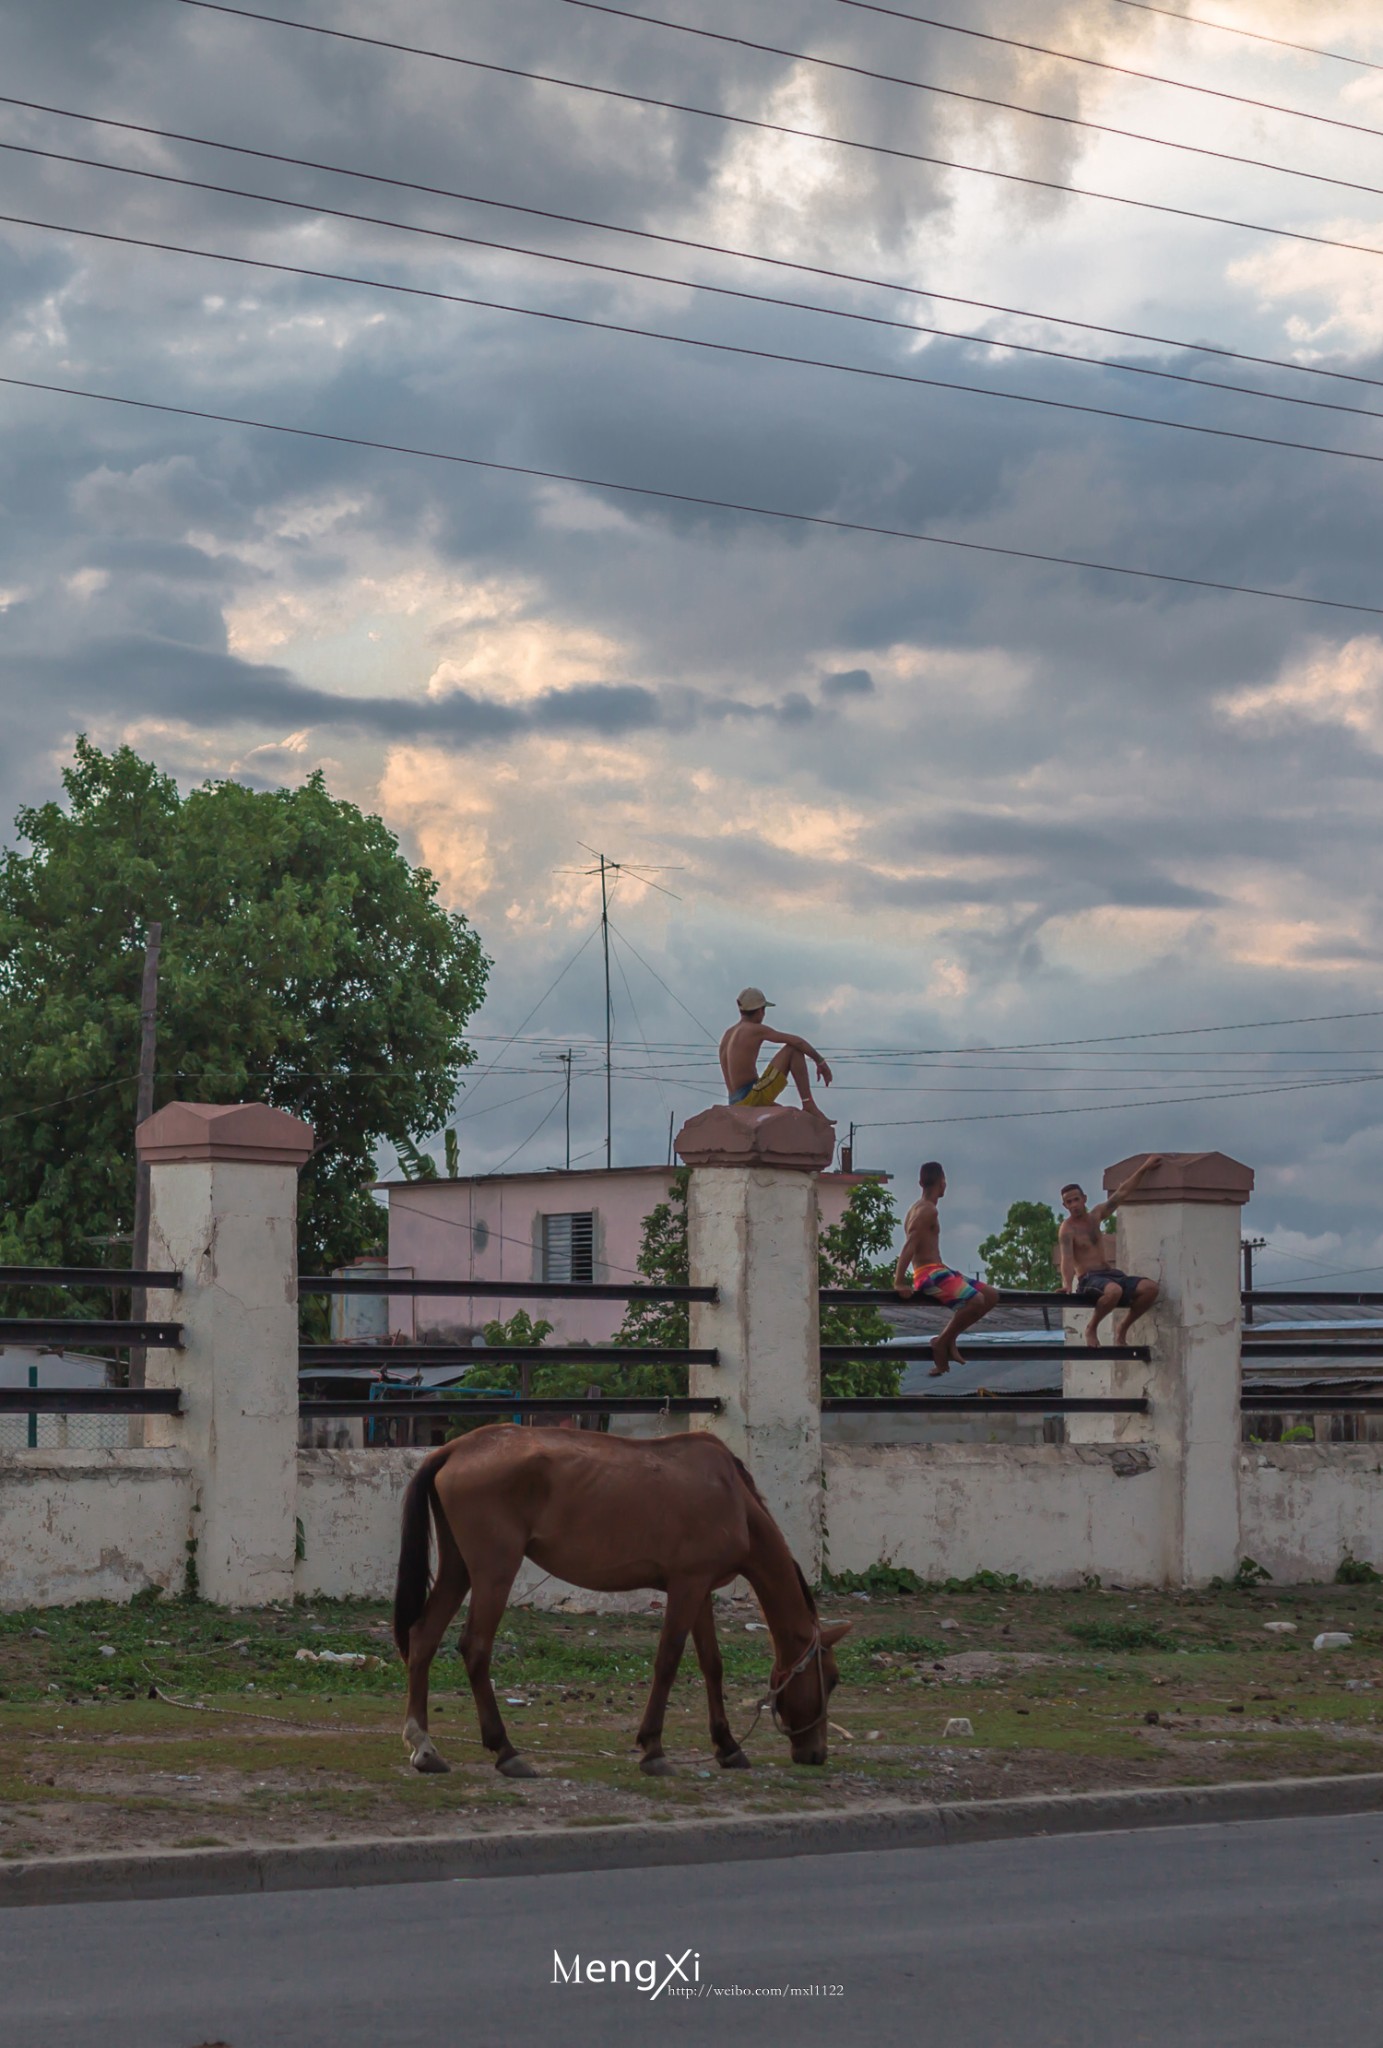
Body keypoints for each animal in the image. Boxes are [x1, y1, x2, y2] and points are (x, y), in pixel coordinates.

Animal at [383, 1425, 848, 1777]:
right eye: (832, 1678)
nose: (816, 1754)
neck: (733, 1495)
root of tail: (454, 1449)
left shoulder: (699, 1590)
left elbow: (711, 1665)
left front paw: (727, 1745)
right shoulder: (686, 1587)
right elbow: (668, 1662)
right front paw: (653, 1748)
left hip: (458, 1569)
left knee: (423, 1638)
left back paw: (424, 1746)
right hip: (494, 1571)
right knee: (475, 1648)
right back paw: (506, 1750)